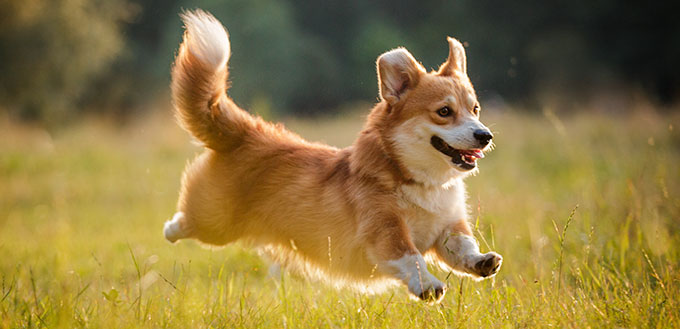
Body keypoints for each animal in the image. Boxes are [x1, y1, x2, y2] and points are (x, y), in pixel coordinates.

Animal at [165, 10, 502, 302]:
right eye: (444, 112)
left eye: (475, 109)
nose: (485, 136)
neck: (420, 181)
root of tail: (246, 132)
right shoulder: (385, 230)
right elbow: (412, 257)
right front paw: (429, 285)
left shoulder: (448, 226)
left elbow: (462, 246)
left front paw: (482, 261)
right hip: (215, 222)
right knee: (185, 222)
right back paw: (170, 229)